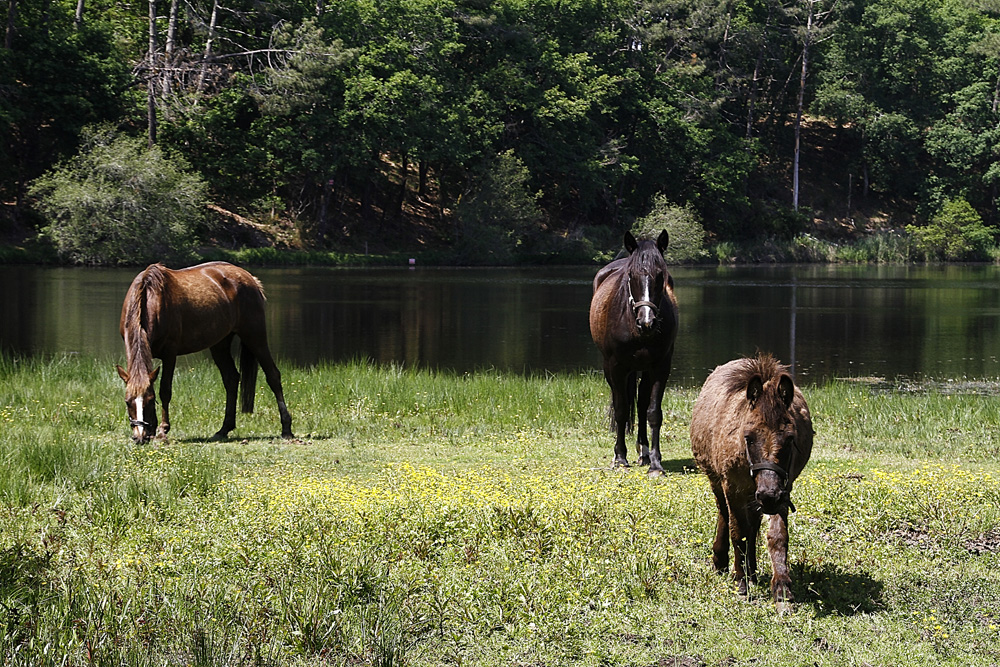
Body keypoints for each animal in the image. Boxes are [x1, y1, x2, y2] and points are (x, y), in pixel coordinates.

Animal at [116, 260, 292, 444]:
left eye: (150, 401)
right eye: (127, 401)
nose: (140, 437)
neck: (150, 300)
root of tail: (250, 279)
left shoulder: (170, 354)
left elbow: (165, 390)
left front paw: (163, 429)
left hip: (255, 337)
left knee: (273, 376)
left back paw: (286, 428)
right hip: (220, 344)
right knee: (231, 379)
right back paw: (224, 429)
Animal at [584, 232, 680, 472]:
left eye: (661, 274)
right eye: (631, 275)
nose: (647, 322)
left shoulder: (660, 366)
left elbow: (653, 412)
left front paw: (655, 463)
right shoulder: (615, 367)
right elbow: (620, 410)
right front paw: (620, 457)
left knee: (642, 404)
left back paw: (644, 452)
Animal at [688, 354, 812, 604]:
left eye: (790, 438)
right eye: (748, 437)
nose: (768, 496)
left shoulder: (783, 489)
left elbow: (776, 536)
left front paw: (781, 587)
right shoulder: (733, 487)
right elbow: (738, 533)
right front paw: (740, 582)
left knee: (752, 526)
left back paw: (752, 571)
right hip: (718, 481)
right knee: (724, 514)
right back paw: (722, 562)